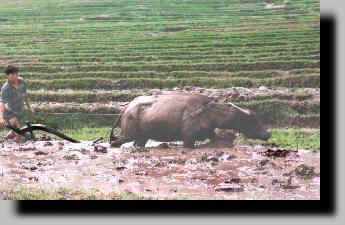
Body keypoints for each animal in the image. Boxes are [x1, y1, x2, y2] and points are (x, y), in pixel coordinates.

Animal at [109, 92, 270, 149]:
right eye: (254, 120)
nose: (268, 134)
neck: (209, 113)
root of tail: (127, 108)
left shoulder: (210, 133)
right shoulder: (188, 140)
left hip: (142, 138)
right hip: (128, 135)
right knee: (114, 142)